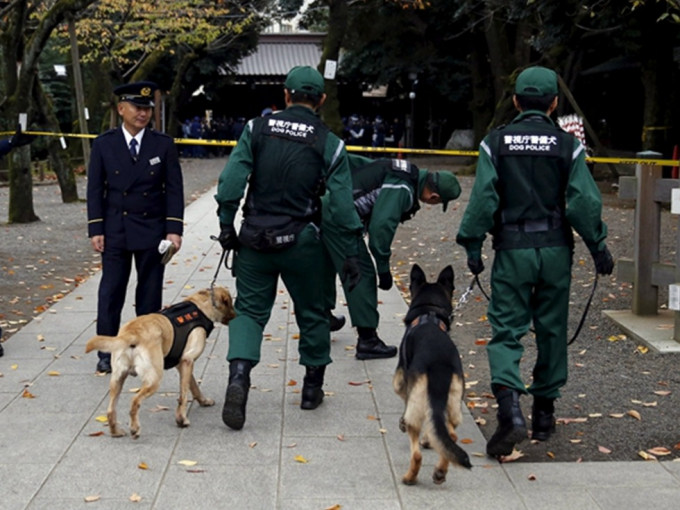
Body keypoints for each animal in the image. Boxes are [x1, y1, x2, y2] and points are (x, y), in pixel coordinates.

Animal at [85, 286, 236, 438]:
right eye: (230, 303)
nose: (236, 316)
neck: (201, 306)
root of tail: (131, 334)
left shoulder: (182, 364)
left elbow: (193, 387)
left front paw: (203, 401)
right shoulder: (187, 360)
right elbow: (183, 395)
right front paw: (181, 419)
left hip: (117, 379)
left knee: (111, 410)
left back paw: (115, 431)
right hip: (154, 378)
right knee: (134, 401)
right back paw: (134, 428)